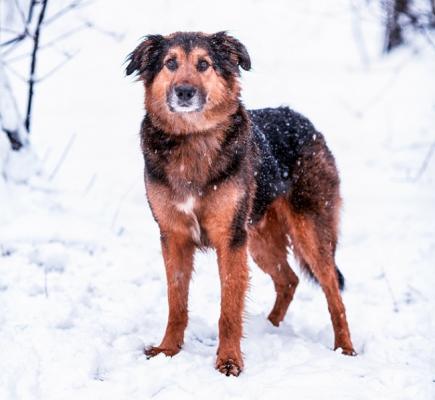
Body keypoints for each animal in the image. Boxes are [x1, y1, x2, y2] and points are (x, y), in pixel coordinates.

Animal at [125, 30, 354, 376]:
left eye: (204, 64)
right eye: (170, 63)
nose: (184, 92)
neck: (193, 140)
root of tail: (302, 120)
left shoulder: (230, 240)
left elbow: (230, 308)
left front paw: (229, 361)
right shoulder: (174, 237)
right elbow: (176, 302)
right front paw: (168, 350)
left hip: (310, 234)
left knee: (333, 293)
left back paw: (345, 348)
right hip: (259, 240)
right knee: (289, 280)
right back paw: (269, 327)